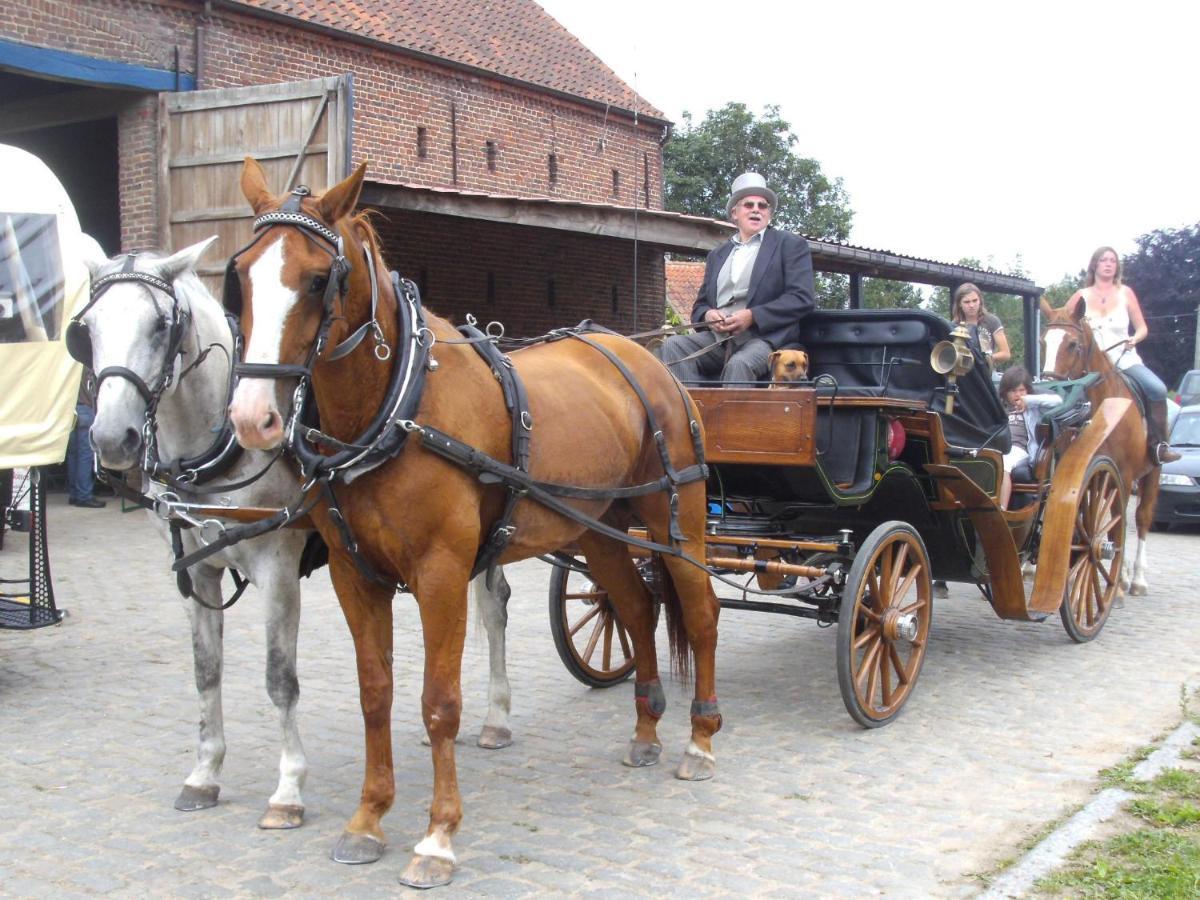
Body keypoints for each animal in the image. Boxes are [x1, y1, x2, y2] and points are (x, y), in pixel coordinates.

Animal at [77, 236, 518, 830]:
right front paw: (205, 773)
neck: (220, 443)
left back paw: (496, 717)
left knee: (493, 610)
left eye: (160, 324)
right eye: (87, 328)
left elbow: (279, 678)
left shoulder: (278, 569)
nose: (111, 438)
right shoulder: (197, 574)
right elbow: (206, 672)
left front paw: (287, 789)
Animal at [223, 160, 720, 888]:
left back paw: (701, 740)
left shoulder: (441, 572)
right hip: (595, 528)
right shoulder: (353, 574)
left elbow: (439, 703)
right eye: (241, 275)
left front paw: (437, 837)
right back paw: (647, 730)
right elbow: (375, 693)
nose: (252, 417)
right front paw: (368, 818)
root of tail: (648, 361)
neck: (397, 407)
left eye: (318, 278)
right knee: (634, 608)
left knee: (700, 610)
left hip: (674, 518)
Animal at [1041, 300, 1161, 600]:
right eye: (1043, 342)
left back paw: (1135, 578)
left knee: (1141, 519)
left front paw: (1115, 586)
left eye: (1073, 344)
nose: (1048, 388)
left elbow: (1118, 524)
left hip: (1151, 473)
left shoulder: (1124, 474)